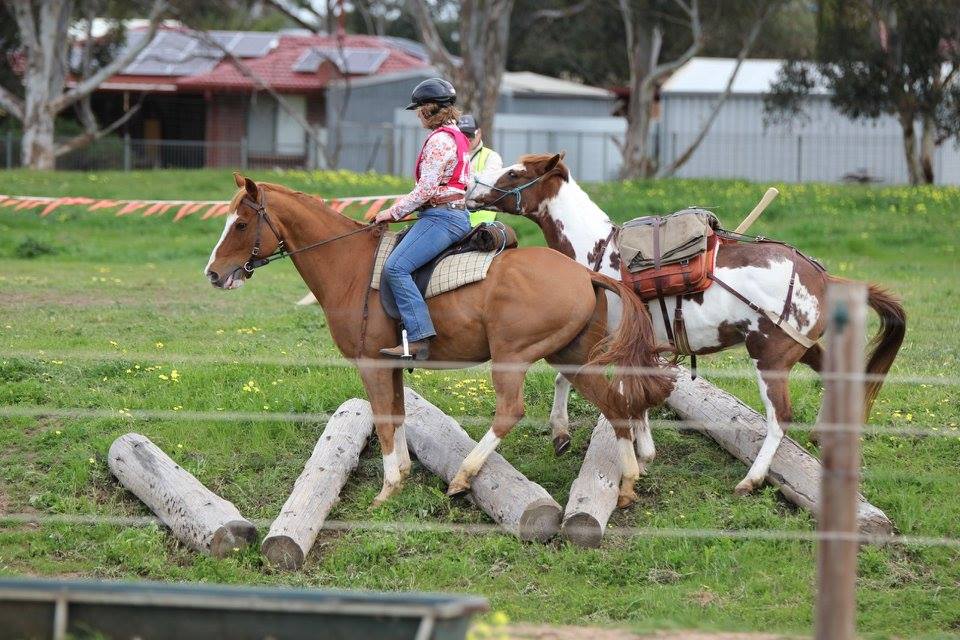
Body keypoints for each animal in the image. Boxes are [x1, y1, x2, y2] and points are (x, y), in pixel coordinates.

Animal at [204, 173, 675, 508]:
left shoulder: (371, 366)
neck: (351, 265)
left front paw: (387, 488)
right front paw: (401, 477)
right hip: (570, 357)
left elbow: (384, 421)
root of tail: (583, 273)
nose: (213, 274)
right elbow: (396, 416)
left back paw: (464, 476)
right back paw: (628, 484)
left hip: (513, 357)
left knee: (511, 412)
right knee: (615, 404)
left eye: (241, 223)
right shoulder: (390, 366)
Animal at [467, 153, 906, 495]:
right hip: (801, 347)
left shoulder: (613, 343)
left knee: (780, 417)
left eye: (515, 173)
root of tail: (823, 277)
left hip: (770, 357)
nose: (471, 189)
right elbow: (596, 385)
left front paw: (632, 452)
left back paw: (752, 479)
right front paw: (583, 438)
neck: (599, 255)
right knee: (835, 377)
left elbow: (616, 392)